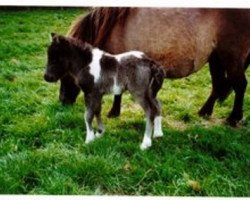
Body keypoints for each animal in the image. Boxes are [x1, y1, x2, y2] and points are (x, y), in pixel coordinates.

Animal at [59, 8, 250, 126]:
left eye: (67, 73)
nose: (62, 101)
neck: (113, 26)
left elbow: (118, 91)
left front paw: (113, 112)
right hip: (216, 59)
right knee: (218, 84)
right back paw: (205, 111)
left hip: (231, 58)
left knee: (240, 85)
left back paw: (233, 119)